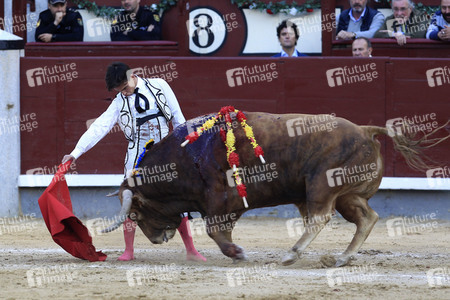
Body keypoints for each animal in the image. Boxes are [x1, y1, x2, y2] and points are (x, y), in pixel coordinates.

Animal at [103, 111, 446, 266]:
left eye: (136, 212)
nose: (157, 239)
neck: (187, 156)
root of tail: (365, 130)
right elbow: (218, 231)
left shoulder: (221, 201)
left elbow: (215, 231)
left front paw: (238, 253)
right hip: (347, 195)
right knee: (367, 218)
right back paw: (342, 258)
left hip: (321, 185)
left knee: (320, 217)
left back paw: (291, 254)